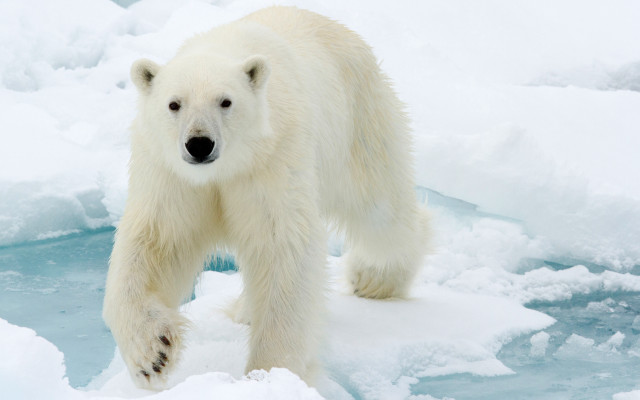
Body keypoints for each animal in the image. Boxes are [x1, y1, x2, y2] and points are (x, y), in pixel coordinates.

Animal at [103, 6, 429, 390]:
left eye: (226, 101)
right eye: (174, 104)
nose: (199, 143)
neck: (225, 169)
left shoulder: (272, 159)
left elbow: (281, 247)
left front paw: (270, 373)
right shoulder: (172, 176)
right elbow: (156, 242)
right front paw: (153, 353)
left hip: (359, 121)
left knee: (380, 210)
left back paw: (374, 279)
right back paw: (246, 309)